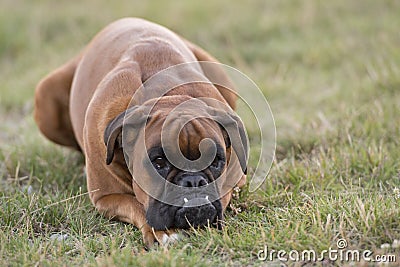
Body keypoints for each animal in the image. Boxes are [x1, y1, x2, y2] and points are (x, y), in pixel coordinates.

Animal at [34, 17, 247, 248]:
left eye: (216, 161)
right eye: (159, 162)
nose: (193, 181)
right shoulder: (107, 197)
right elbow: (136, 205)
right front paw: (164, 232)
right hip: (44, 100)